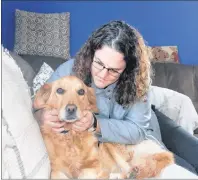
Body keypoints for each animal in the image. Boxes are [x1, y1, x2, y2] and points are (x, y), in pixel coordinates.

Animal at [33, 75, 174, 179]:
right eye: (60, 90)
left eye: (81, 91)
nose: (71, 109)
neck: (71, 137)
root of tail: (160, 150)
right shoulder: (56, 170)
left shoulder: (93, 166)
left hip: (112, 146)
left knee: (127, 168)